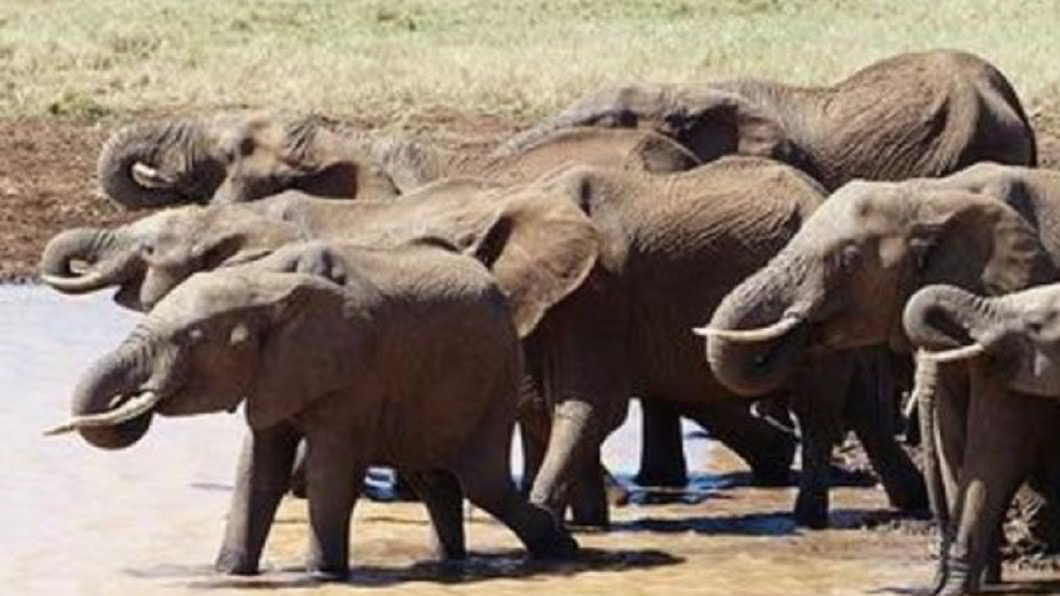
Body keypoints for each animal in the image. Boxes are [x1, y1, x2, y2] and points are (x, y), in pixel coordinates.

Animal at [39, 156, 922, 527]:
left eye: (151, 251)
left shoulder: (599, 289)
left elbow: (586, 403)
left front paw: (548, 521)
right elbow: (542, 403)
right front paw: (580, 517)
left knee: (820, 402)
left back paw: (808, 512)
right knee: (854, 404)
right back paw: (895, 500)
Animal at [45, 239, 578, 578]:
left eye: (191, 338)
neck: (264, 282)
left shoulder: (355, 372)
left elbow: (328, 470)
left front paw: (322, 575)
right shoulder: (275, 372)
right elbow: (257, 466)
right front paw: (229, 573)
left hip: (497, 375)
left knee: (481, 482)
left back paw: (564, 552)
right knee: (435, 478)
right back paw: (451, 563)